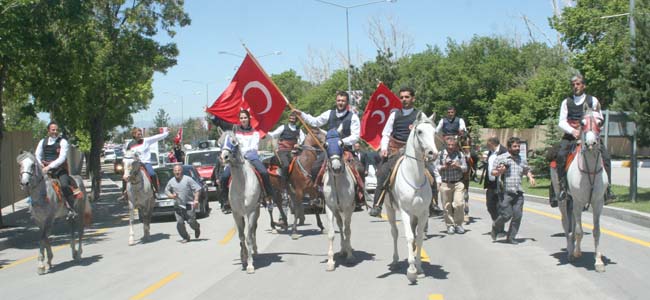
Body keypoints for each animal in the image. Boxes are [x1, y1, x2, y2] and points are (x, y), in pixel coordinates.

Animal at [220, 132, 260, 274]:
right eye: (219, 142)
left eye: (234, 141)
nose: (224, 157)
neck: (242, 183)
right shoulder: (236, 214)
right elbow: (241, 237)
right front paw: (243, 258)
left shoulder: (251, 212)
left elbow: (248, 237)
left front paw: (250, 265)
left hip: (256, 210)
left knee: (253, 230)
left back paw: (255, 250)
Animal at [382, 113, 438, 284]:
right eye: (419, 131)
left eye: (434, 132)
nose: (433, 154)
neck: (415, 178)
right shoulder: (405, 212)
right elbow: (409, 237)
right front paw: (411, 270)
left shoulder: (423, 213)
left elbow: (418, 238)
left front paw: (419, 267)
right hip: (390, 209)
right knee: (394, 233)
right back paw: (395, 261)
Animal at [548, 108, 604, 272]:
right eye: (582, 123)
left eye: (600, 122)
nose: (591, 143)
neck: (590, 169)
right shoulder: (579, 202)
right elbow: (579, 231)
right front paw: (576, 253)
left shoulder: (598, 203)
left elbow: (596, 231)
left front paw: (599, 262)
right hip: (564, 200)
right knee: (567, 224)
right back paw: (570, 250)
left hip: (572, 202)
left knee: (572, 223)